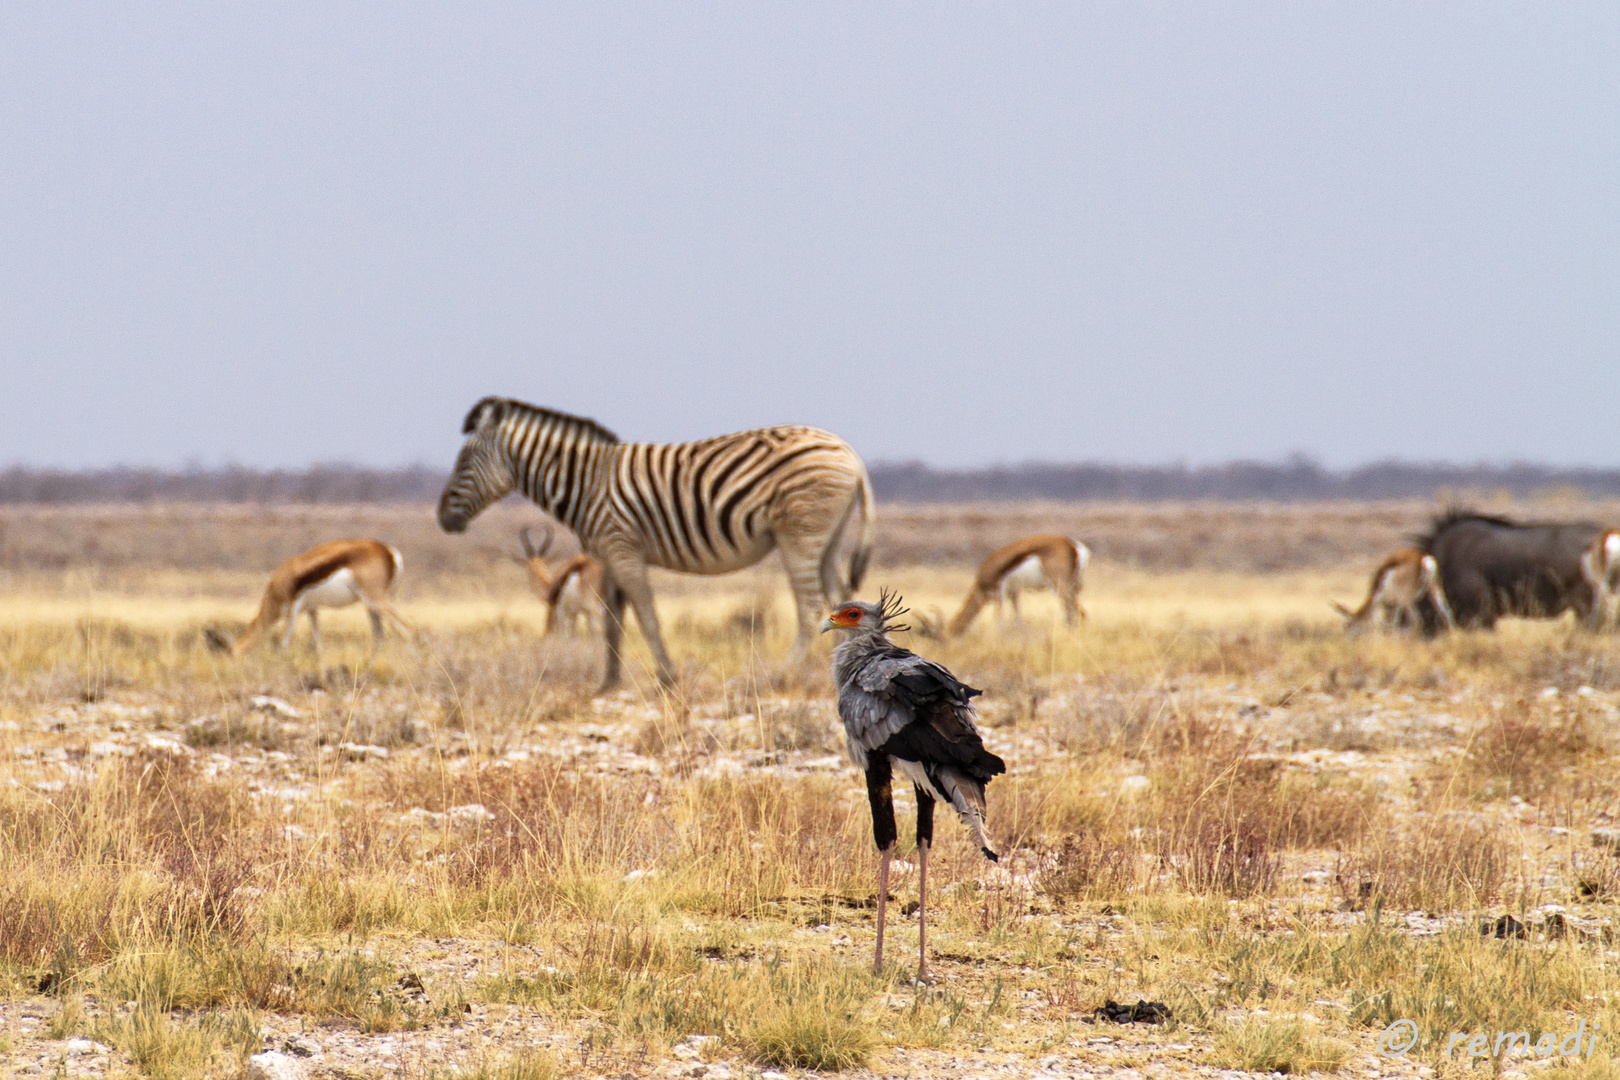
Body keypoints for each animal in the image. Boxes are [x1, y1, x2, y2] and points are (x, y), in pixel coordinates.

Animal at [437, 399, 881, 693]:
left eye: (464, 462)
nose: (442, 518)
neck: (585, 483)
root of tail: (851, 453)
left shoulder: (621, 547)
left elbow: (645, 615)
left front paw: (667, 678)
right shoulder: (605, 555)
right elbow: (612, 619)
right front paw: (608, 682)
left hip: (799, 534)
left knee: (809, 607)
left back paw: (781, 676)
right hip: (827, 538)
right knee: (840, 597)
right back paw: (843, 672)